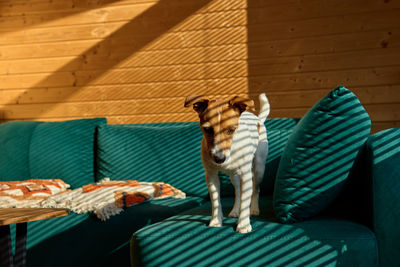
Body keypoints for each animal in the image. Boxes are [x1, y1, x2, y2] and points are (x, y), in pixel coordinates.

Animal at [186, 94, 270, 234]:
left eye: (231, 130)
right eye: (207, 129)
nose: (219, 159)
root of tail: (258, 119)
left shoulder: (246, 176)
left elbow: (246, 201)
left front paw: (243, 225)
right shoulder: (211, 175)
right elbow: (216, 201)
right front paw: (215, 221)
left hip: (259, 168)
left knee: (256, 189)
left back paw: (254, 208)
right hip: (234, 176)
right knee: (237, 192)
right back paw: (235, 210)